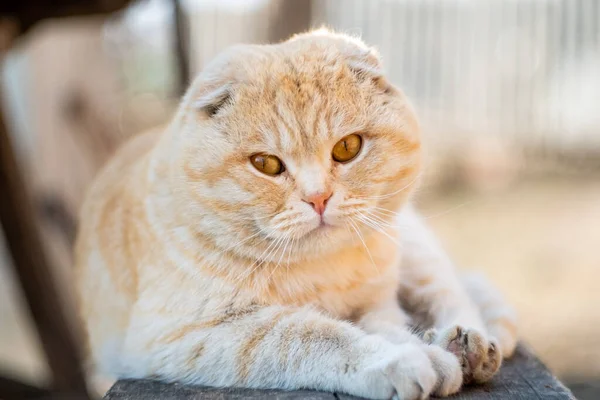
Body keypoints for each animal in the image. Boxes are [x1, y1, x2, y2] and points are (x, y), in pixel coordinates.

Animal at [74, 30, 516, 400]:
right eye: (266, 164)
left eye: (347, 147)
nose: (318, 198)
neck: (322, 270)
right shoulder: (184, 334)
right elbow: (314, 335)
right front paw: (403, 361)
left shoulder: (379, 303)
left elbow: (385, 324)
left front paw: (431, 352)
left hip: (416, 250)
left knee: (453, 294)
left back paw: (468, 342)